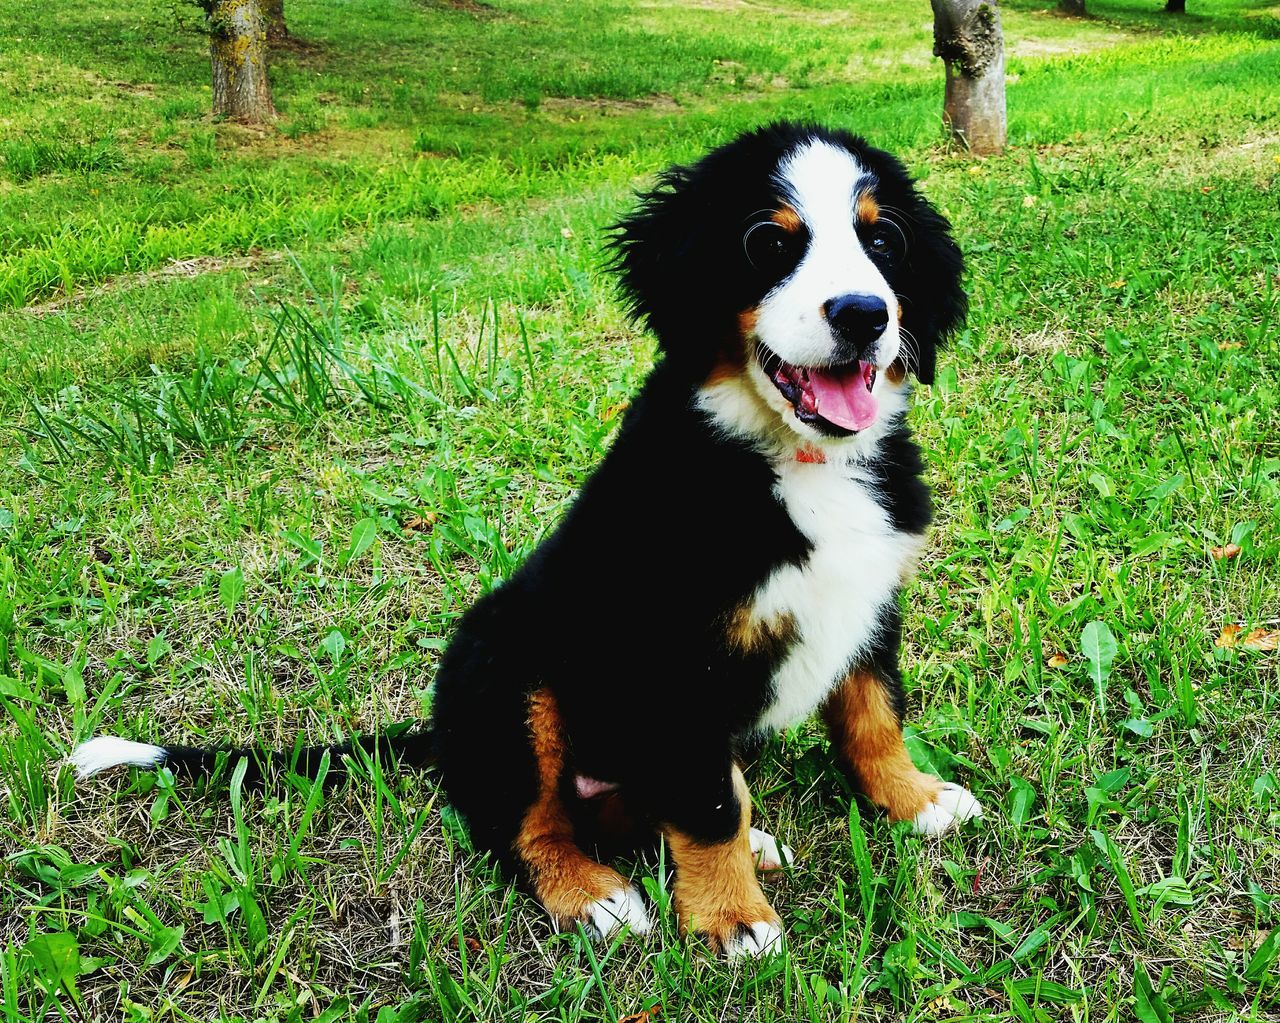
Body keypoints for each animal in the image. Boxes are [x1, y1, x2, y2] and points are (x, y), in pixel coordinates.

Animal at [72, 120, 977, 962]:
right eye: (769, 242)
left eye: (883, 242)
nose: (865, 315)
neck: (795, 459)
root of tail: (443, 732)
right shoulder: (676, 658)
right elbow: (710, 800)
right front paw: (731, 919)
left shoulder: (867, 602)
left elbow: (873, 716)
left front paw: (916, 799)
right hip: (511, 676)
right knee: (525, 827)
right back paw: (593, 895)